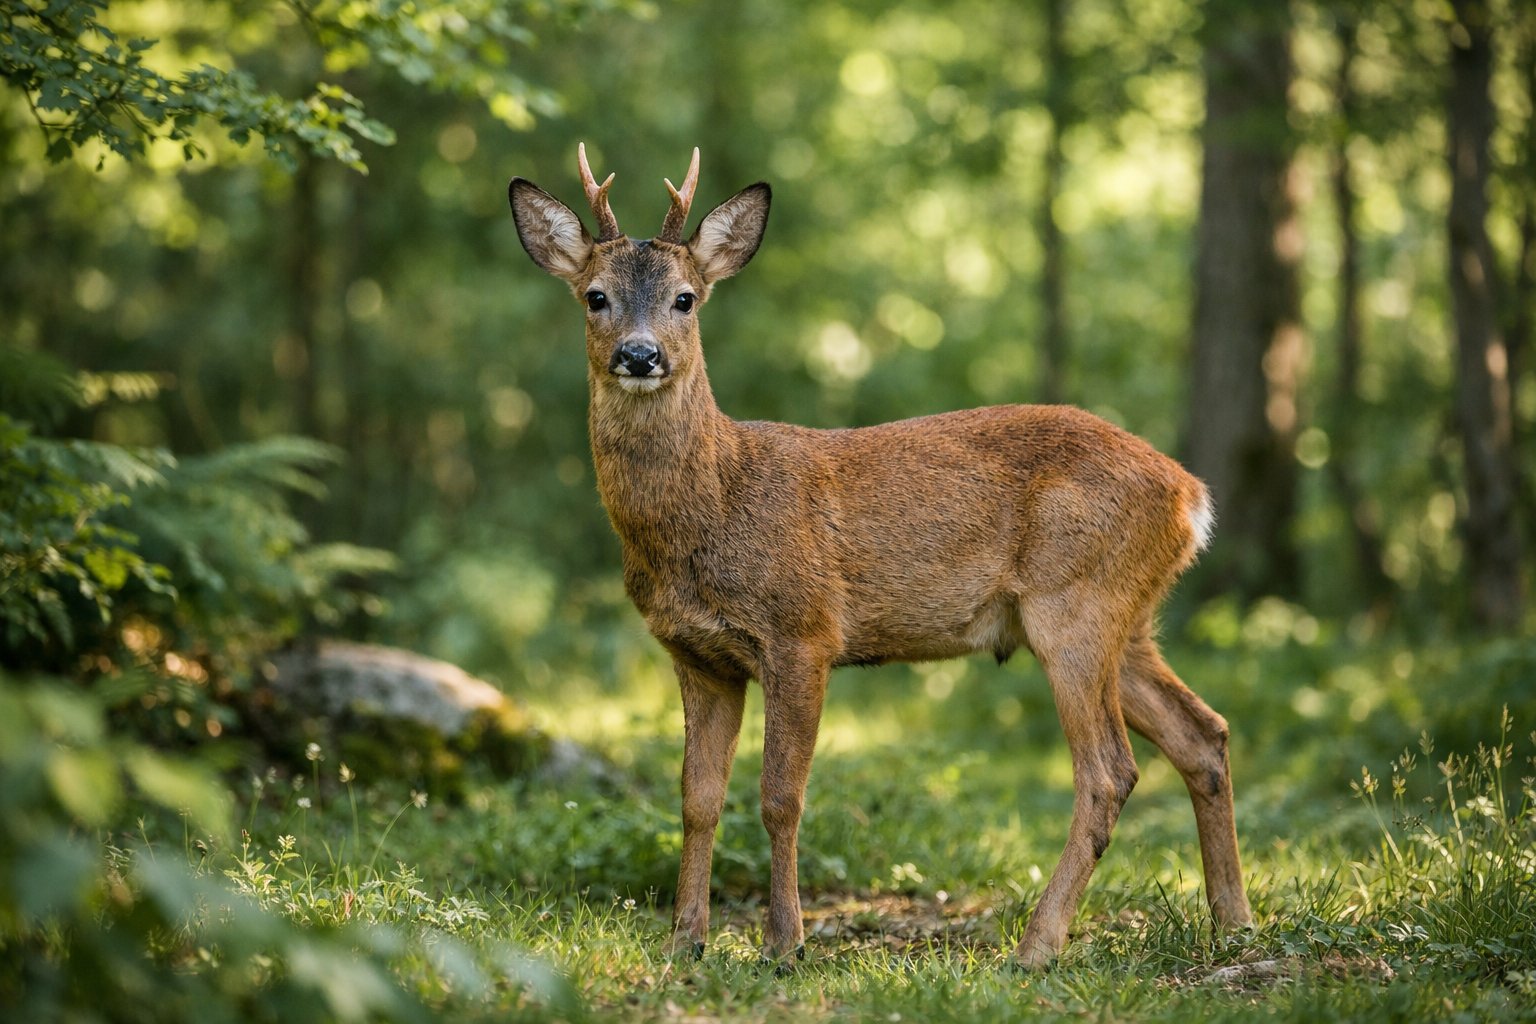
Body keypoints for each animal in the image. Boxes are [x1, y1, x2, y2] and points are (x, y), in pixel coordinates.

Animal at [507, 145, 1254, 968]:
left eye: (685, 299)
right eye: (595, 296)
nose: (639, 356)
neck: (714, 503)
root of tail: (1190, 495)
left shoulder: (803, 632)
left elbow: (780, 797)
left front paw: (785, 943)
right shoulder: (697, 655)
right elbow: (697, 799)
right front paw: (685, 942)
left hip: (1076, 603)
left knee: (1110, 772)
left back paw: (1036, 946)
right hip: (1128, 618)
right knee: (1204, 734)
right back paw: (1233, 921)